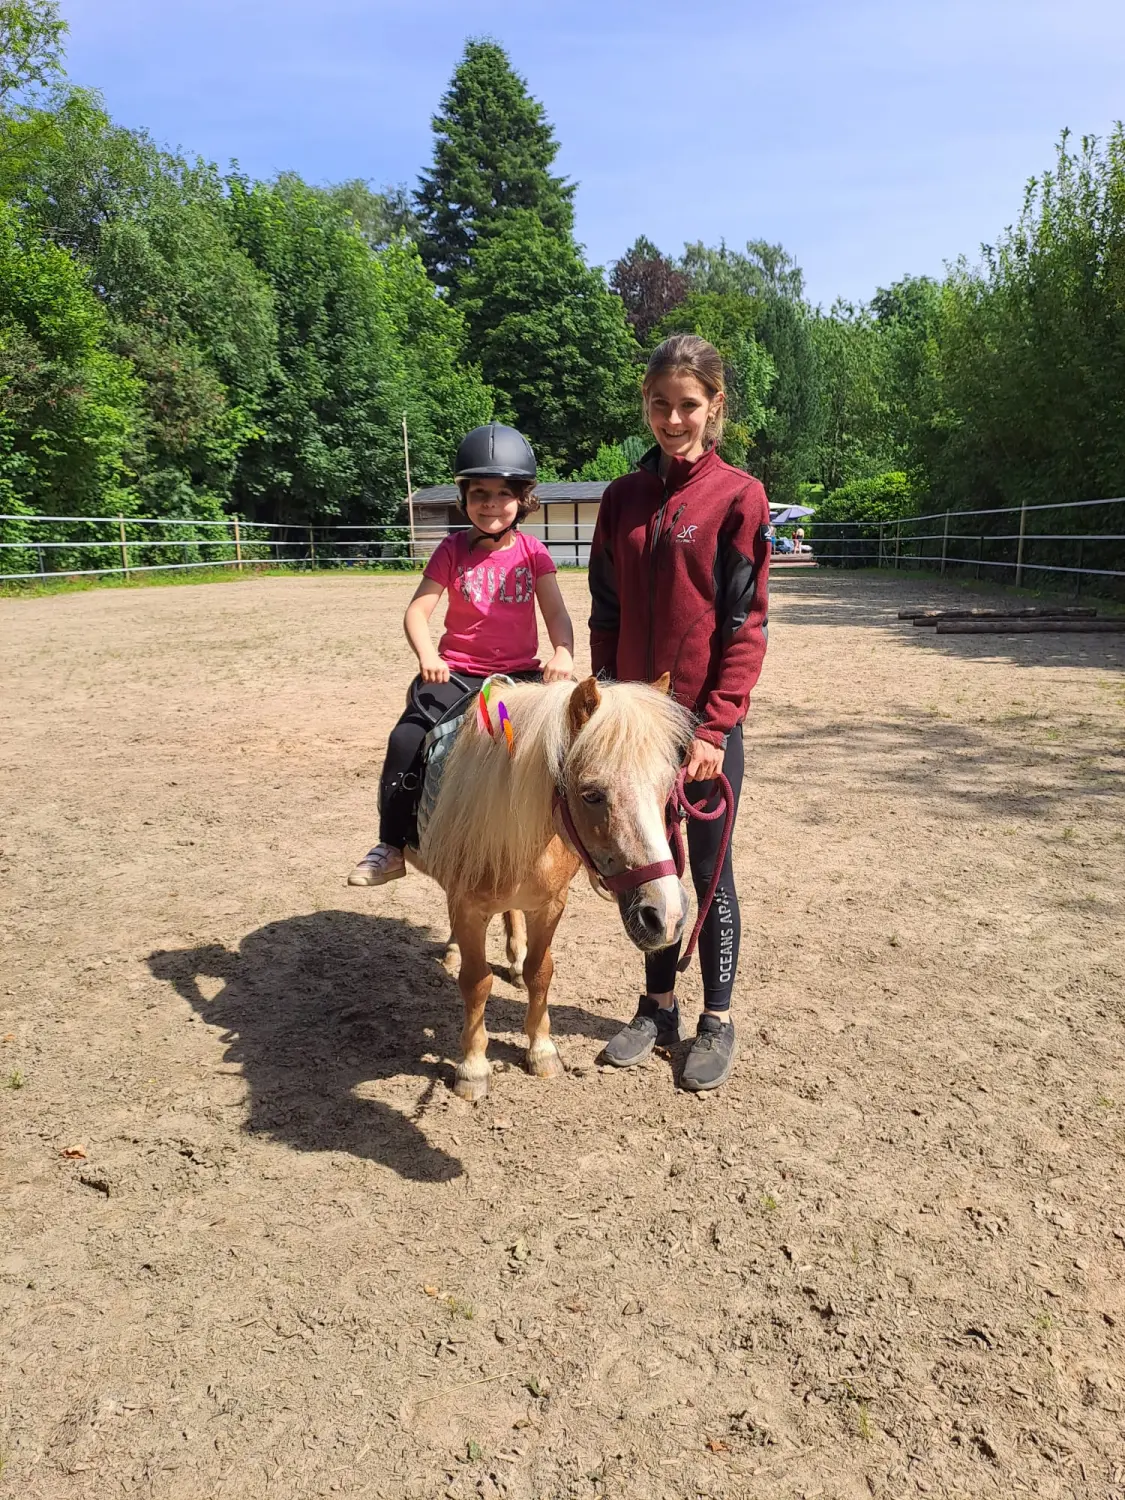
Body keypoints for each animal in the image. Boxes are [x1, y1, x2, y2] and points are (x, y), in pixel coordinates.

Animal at [410, 675, 694, 1100]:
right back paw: (454, 950)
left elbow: (540, 971)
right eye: (591, 794)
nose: (666, 914)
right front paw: (473, 1068)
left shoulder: (550, 905)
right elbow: (476, 983)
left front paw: (541, 1050)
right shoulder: (467, 909)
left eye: (666, 788)